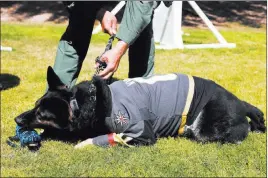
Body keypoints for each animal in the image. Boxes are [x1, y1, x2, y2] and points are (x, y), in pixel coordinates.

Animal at [15, 67, 266, 147]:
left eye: (42, 114)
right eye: (35, 106)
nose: (16, 120)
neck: (90, 103)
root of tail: (241, 104)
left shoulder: (138, 135)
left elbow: (105, 137)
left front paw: (85, 142)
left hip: (204, 129)